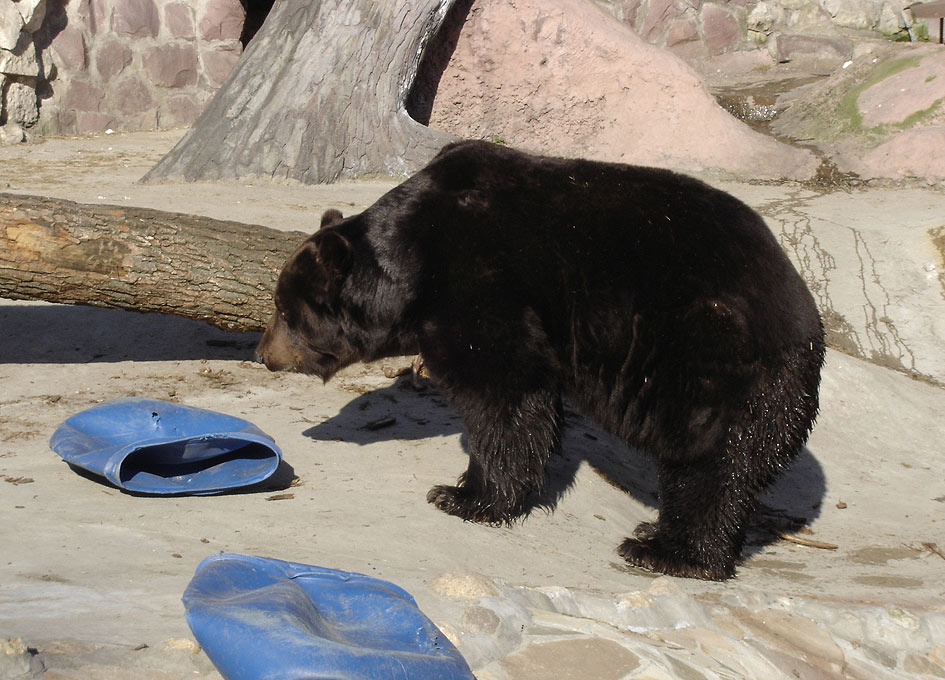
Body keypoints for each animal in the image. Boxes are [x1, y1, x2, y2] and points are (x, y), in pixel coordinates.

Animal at [255, 140, 825, 580]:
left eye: (284, 308)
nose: (263, 354)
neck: (412, 264)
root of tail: (806, 325)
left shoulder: (481, 281)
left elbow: (503, 393)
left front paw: (462, 495)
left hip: (706, 351)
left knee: (709, 458)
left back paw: (667, 551)